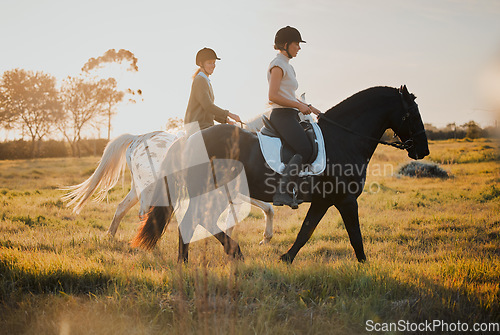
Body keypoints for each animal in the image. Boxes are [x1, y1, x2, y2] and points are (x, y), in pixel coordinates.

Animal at [62, 115, 276, 244]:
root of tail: (137, 138)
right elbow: (265, 209)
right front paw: (264, 238)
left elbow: (251, 213)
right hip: (150, 189)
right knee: (145, 213)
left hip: (139, 188)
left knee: (122, 208)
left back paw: (111, 236)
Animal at [133, 85, 430, 264]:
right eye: (412, 113)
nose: (423, 150)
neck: (344, 139)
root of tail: (189, 139)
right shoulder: (346, 200)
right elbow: (354, 235)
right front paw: (364, 266)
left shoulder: (324, 201)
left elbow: (306, 231)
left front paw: (286, 258)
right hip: (214, 191)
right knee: (197, 219)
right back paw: (226, 254)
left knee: (197, 220)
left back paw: (202, 258)